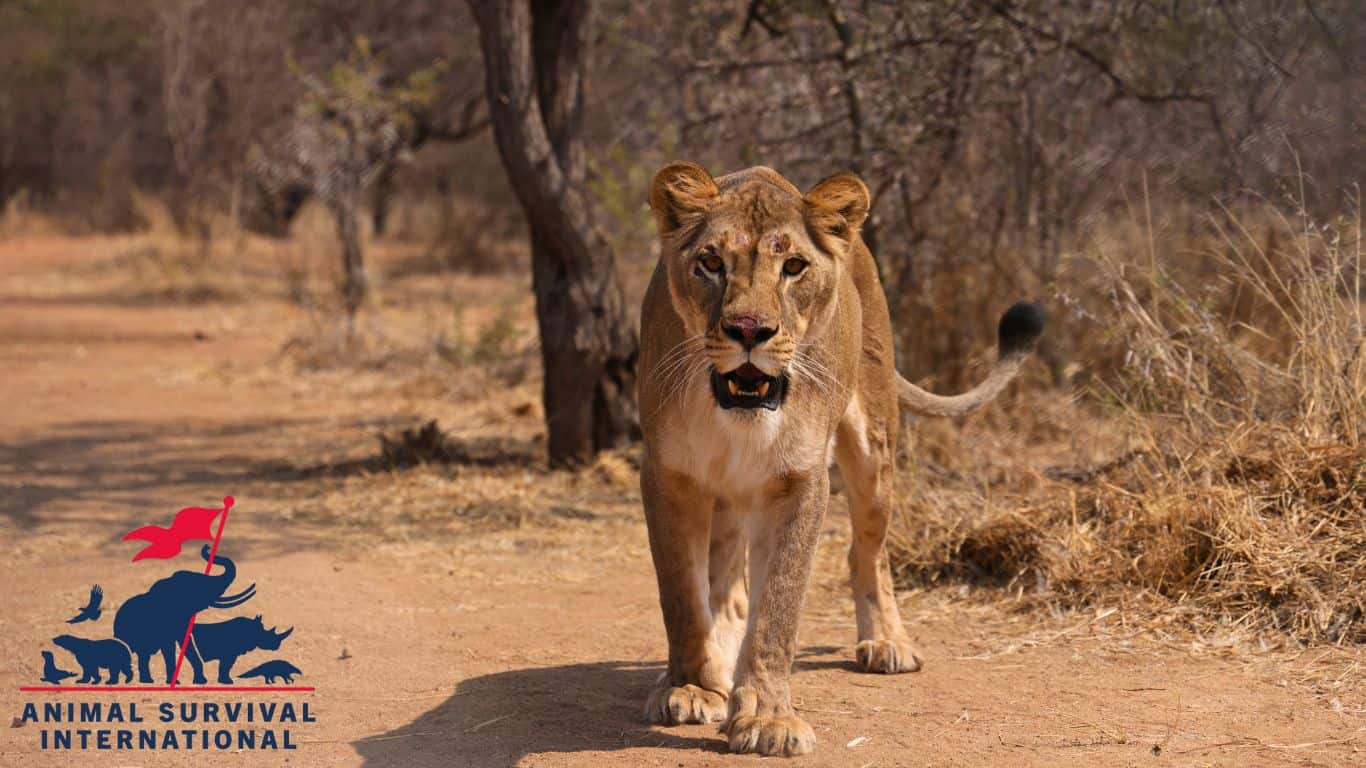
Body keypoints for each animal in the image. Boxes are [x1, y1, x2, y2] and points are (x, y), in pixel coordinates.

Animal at [638, 162, 1044, 757]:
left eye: (793, 267)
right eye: (711, 263)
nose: (749, 331)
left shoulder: (798, 479)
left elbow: (779, 606)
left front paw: (767, 719)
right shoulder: (668, 475)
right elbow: (683, 597)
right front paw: (691, 687)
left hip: (874, 451)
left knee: (865, 552)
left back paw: (888, 644)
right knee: (729, 590)